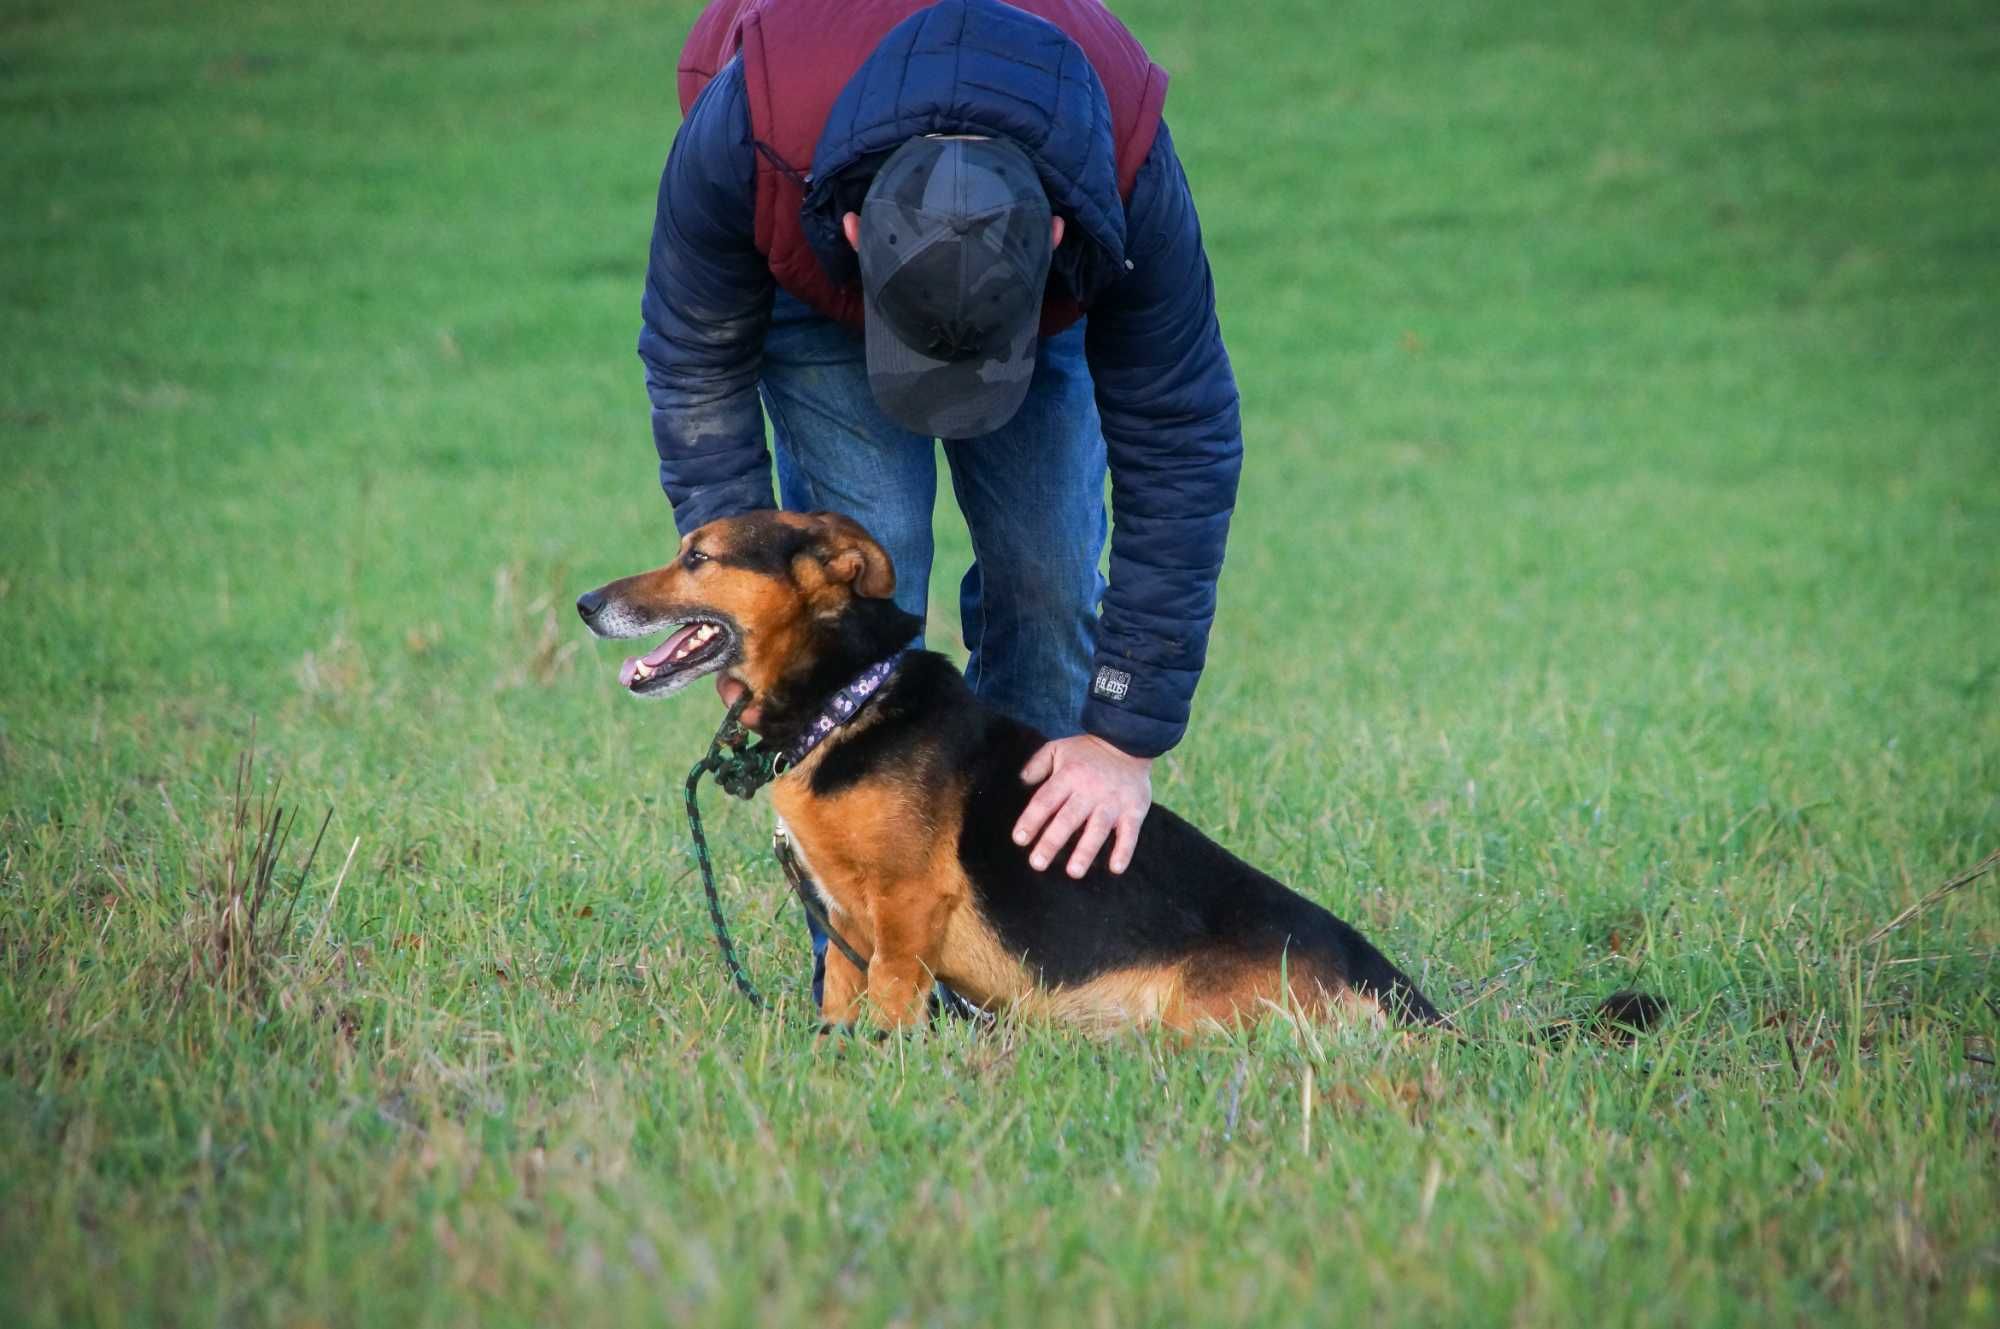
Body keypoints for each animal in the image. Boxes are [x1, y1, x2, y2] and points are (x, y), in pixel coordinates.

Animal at [572, 510, 1464, 1040]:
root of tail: (1391, 987)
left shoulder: (905, 912)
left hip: (1192, 1012)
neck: (849, 698)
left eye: (698, 557)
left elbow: (891, 1002)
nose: (584, 603)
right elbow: (842, 1001)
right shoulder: (847, 928)